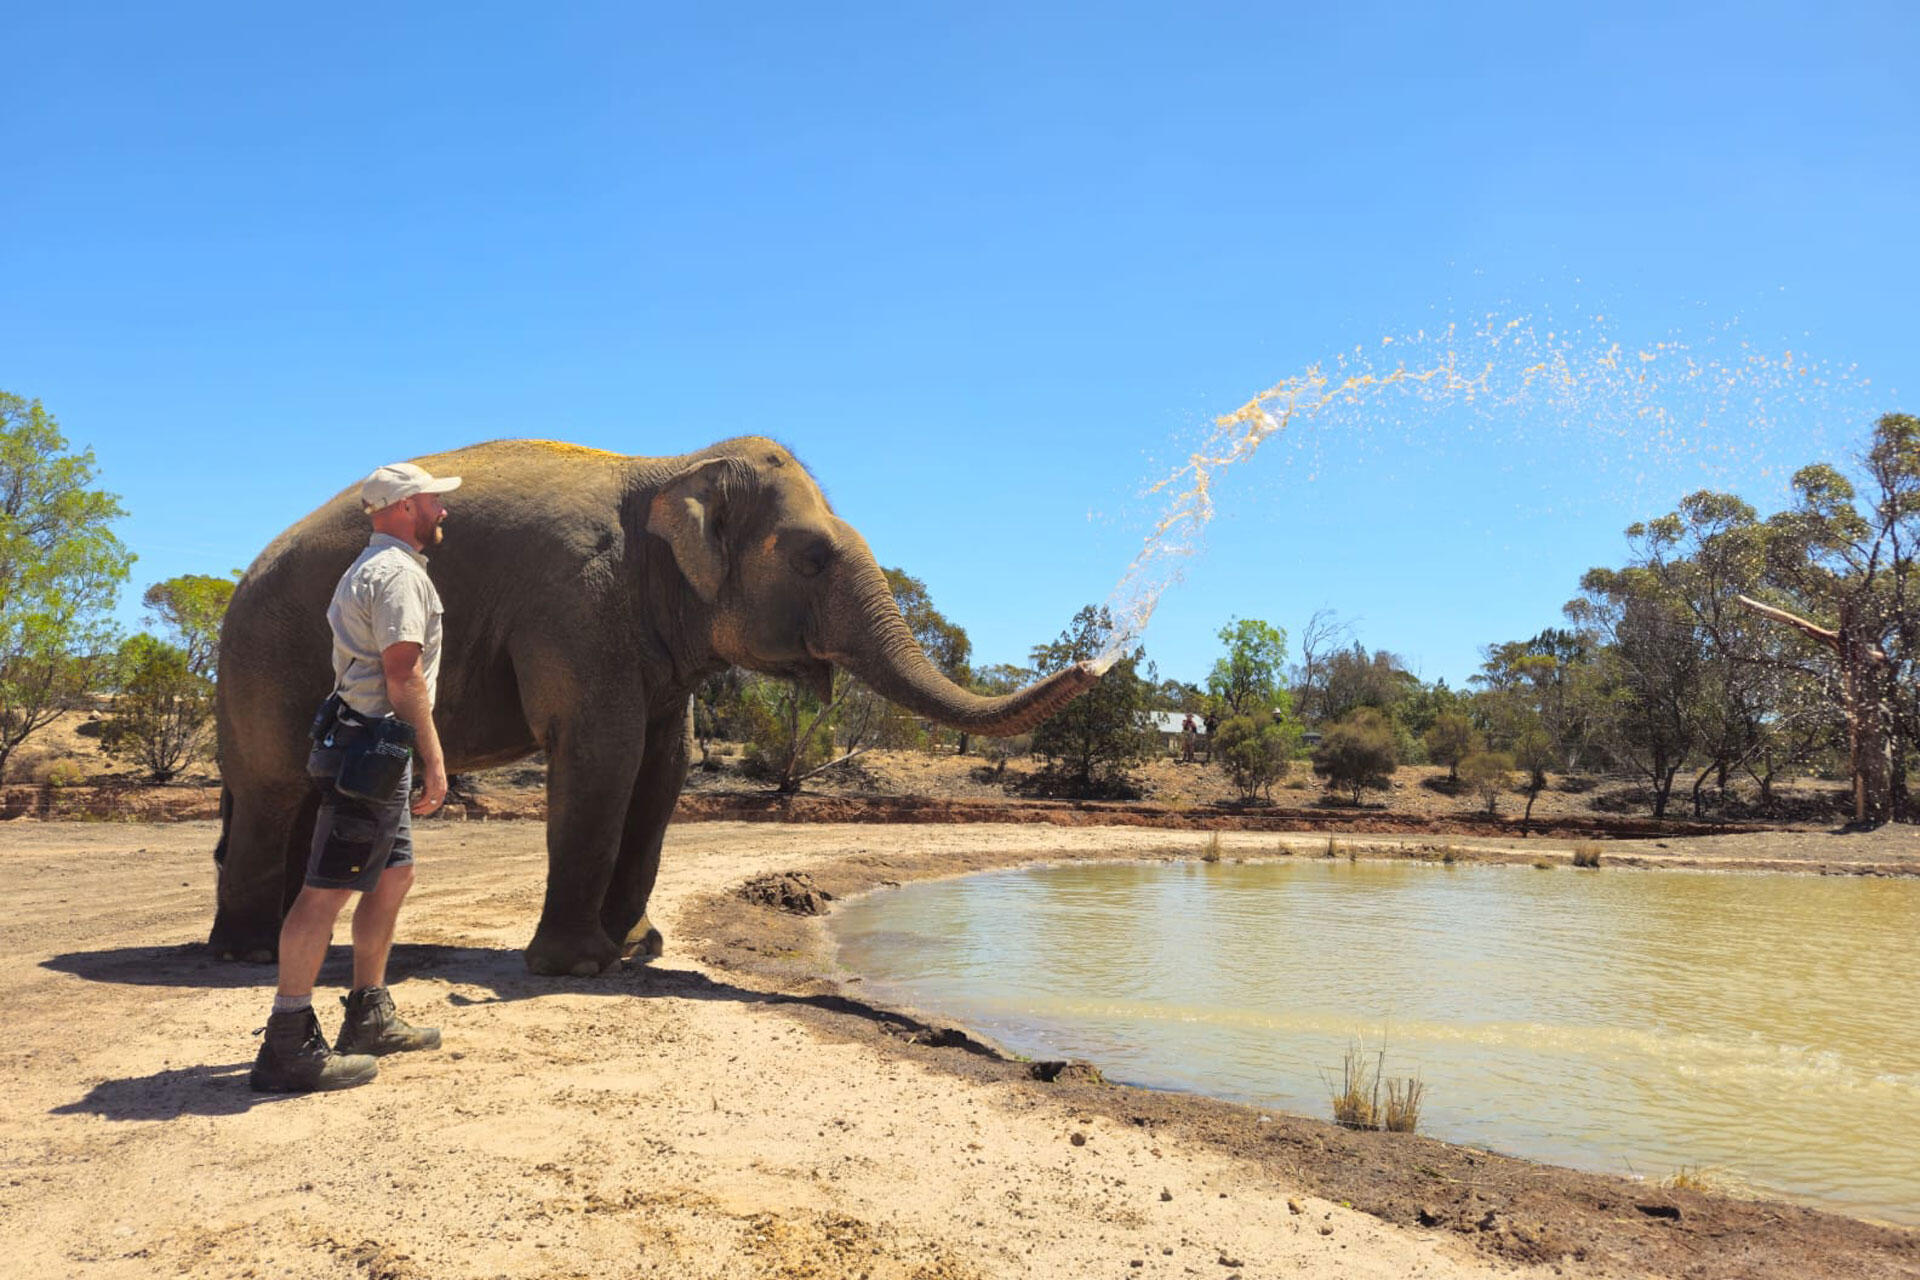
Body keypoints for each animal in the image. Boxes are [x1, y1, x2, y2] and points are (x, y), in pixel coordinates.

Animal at [210, 437, 1099, 976]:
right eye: (813, 558)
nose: (1097, 660)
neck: (672, 465)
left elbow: (662, 767)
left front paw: (638, 952)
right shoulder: (575, 602)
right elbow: (603, 753)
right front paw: (580, 967)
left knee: (294, 797)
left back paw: (280, 944)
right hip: (265, 656)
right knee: (273, 791)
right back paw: (250, 955)